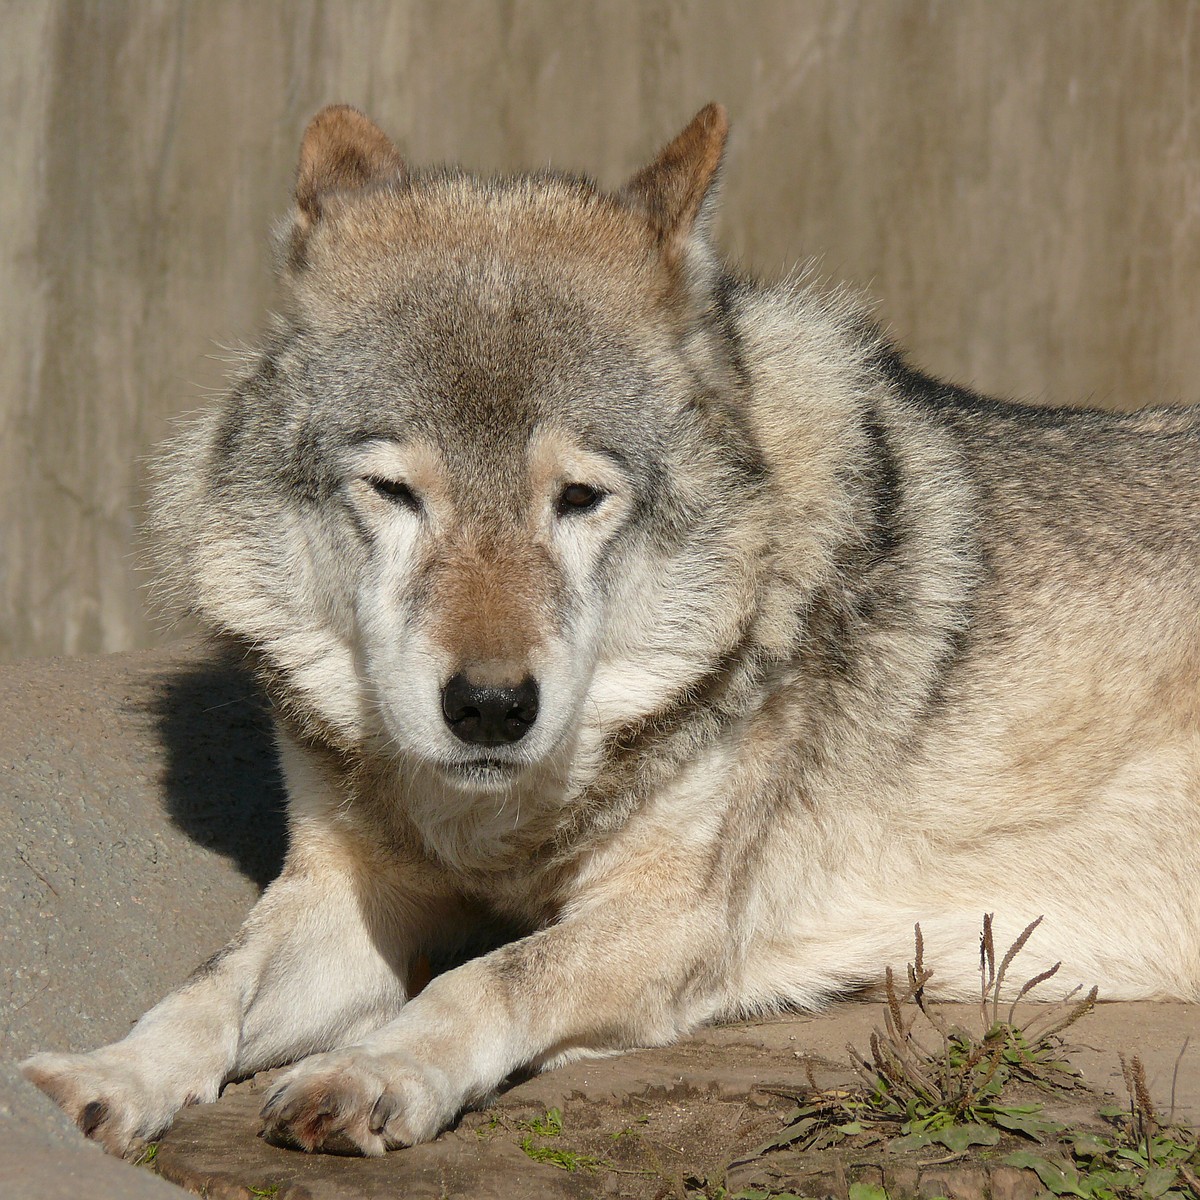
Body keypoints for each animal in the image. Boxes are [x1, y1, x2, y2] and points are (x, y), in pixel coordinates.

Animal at [18, 105, 1200, 1161]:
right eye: (395, 492)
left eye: (578, 499)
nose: (491, 708)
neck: (495, 825)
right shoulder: (353, 896)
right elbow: (207, 985)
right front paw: (108, 1075)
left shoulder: (668, 924)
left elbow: (485, 978)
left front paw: (372, 1069)